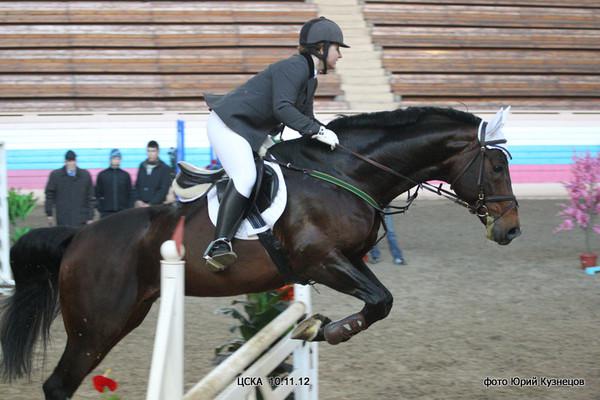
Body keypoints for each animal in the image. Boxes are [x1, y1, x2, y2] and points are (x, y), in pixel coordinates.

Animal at [0, 107, 520, 399]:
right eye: (496, 165)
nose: (511, 229)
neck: (347, 173)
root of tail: (78, 237)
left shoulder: (344, 261)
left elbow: (379, 299)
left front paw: (313, 327)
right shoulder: (321, 260)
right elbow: (380, 301)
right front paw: (328, 330)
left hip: (124, 316)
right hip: (96, 326)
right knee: (58, 384)